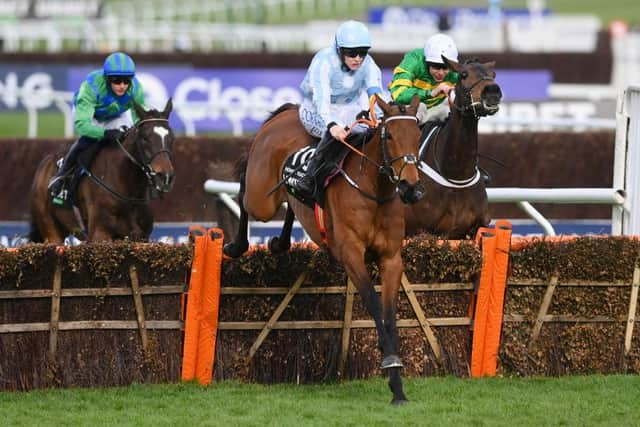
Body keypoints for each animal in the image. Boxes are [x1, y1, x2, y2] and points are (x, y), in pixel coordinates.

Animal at [28, 99, 175, 244]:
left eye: (171, 138)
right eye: (145, 138)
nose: (165, 176)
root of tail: (45, 162)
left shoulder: (141, 237)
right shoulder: (100, 234)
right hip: (50, 230)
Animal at [225, 94, 424, 404]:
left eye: (418, 135)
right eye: (389, 135)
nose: (410, 186)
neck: (373, 190)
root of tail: (288, 112)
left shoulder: (391, 258)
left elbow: (390, 312)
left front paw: (397, 386)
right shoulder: (351, 254)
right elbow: (373, 302)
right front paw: (390, 361)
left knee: (292, 204)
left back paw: (281, 241)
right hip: (261, 199)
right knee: (245, 191)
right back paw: (237, 245)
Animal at [404, 57, 504, 239]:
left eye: (493, 74)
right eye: (463, 74)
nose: (492, 91)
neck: (456, 174)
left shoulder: (475, 229)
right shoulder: (428, 232)